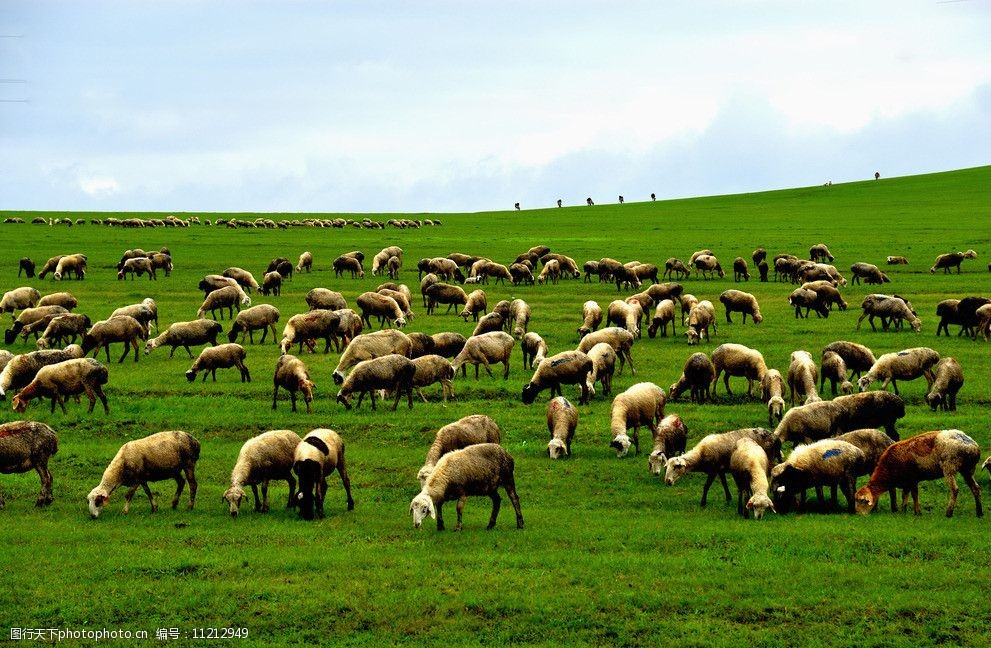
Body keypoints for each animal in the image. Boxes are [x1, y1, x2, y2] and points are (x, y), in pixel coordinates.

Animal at [852, 430, 984, 516]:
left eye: (862, 501)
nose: (858, 514)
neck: (888, 470)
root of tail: (972, 445)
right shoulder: (906, 481)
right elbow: (905, 495)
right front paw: (903, 510)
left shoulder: (912, 478)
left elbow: (914, 494)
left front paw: (917, 512)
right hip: (968, 469)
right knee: (976, 488)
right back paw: (979, 512)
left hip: (949, 467)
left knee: (954, 489)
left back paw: (949, 512)